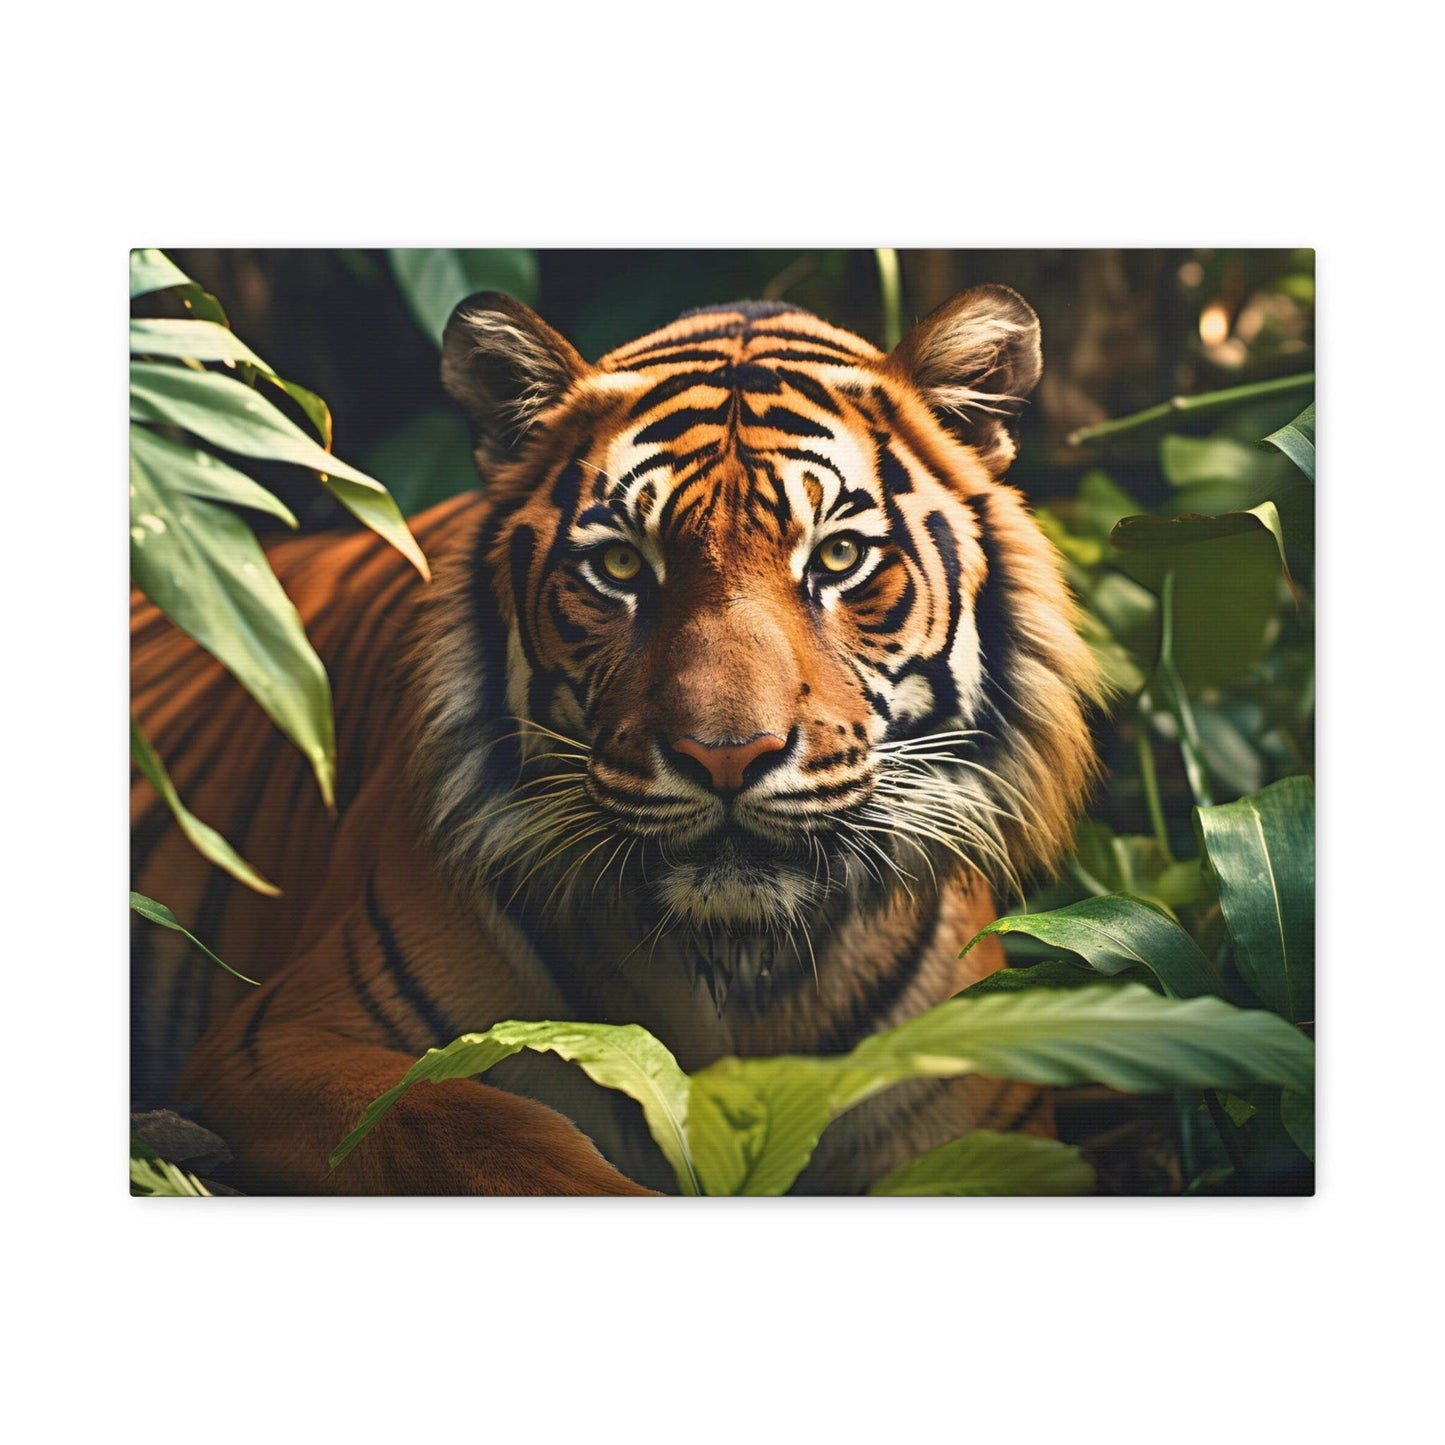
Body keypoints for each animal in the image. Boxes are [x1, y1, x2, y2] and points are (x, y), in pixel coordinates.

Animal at [130, 284, 1103, 1195]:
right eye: (622, 566)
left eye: (836, 558)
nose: (725, 755)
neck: (731, 968)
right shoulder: (284, 1041)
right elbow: (477, 1127)